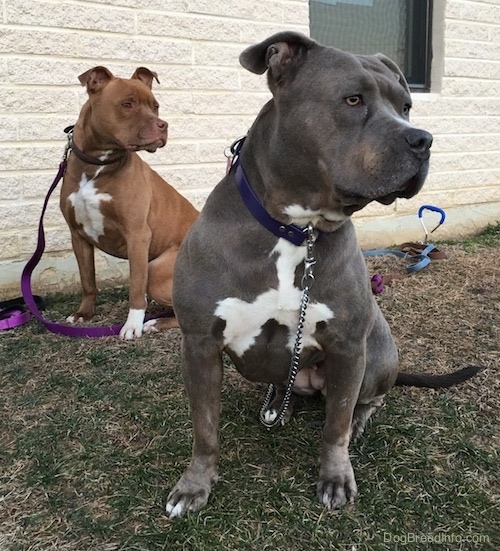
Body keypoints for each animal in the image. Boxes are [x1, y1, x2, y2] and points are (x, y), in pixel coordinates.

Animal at [60, 67, 197, 338]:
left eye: (155, 106)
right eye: (127, 104)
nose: (163, 125)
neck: (97, 165)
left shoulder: (137, 235)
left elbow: (135, 285)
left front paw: (132, 325)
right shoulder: (77, 235)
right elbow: (87, 279)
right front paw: (84, 313)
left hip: (158, 269)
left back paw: (154, 322)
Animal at [167, 33, 480, 516]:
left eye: (406, 105)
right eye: (353, 99)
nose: (424, 139)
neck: (298, 229)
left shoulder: (348, 346)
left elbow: (335, 427)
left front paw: (336, 476)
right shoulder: (199, 344)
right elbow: (205, 429)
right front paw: (195, 484)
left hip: (377, 351)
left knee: (366, 400)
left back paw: (357, 420)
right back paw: (280, 405)